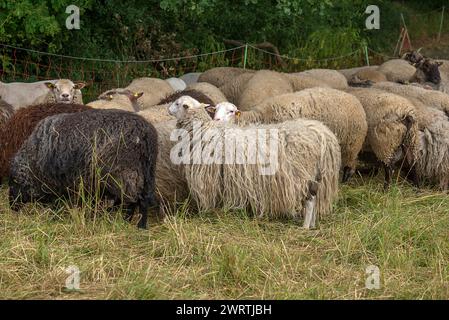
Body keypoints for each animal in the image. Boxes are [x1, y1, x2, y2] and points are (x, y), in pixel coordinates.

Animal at [8, 109, 159, 229]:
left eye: (13, 183)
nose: (12, 207)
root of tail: (144, 133)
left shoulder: (59, 183)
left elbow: (58, 202)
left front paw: (55, 216)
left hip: (122, 173)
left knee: (131, 200)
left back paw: (128, 222)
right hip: (147, 172)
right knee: (142, 200)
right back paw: (138, 225)